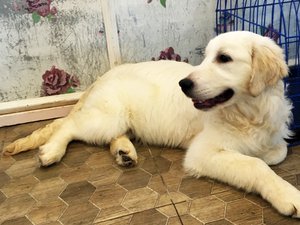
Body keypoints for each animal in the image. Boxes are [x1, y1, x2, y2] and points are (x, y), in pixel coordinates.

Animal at [4, 30, 300, 217]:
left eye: (224, 58)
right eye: (205, 57)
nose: (184, 84)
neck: (248, 113)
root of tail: (99, 79)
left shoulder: (275, 137)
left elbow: (277, 152)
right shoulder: (202, 152)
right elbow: (254, 165)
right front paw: (288, 195)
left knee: (109, 134)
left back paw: (124, 152)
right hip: (107, 117)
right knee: (68, 126)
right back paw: (51, 152)